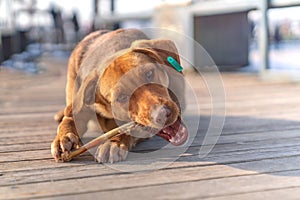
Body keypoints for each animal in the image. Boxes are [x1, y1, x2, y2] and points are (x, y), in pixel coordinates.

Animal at [51, 28, 188, 162]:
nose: (162, 114)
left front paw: (113, 143)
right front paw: (63, 137)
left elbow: (126, 130)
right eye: (122, 97)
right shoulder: (77, 110)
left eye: (149, 73)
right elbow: (68, 121)